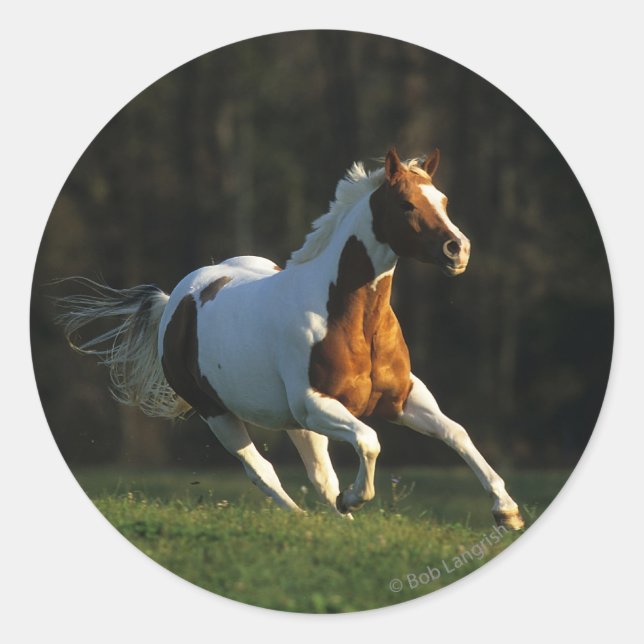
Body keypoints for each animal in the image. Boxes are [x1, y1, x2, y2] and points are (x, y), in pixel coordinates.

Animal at [56, 148, 525, 530]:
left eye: (442, 200)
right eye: (407, 204)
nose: (457, 249)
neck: (352, 320)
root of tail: (177, 300)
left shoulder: (402, 397)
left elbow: (456, 433)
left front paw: (507, 511)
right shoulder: (316, 404)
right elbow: (369, 442)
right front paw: (355, 499)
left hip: (295, 424)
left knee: (319, 475)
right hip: (220, 414)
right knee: (262, 470)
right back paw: (306, 518)